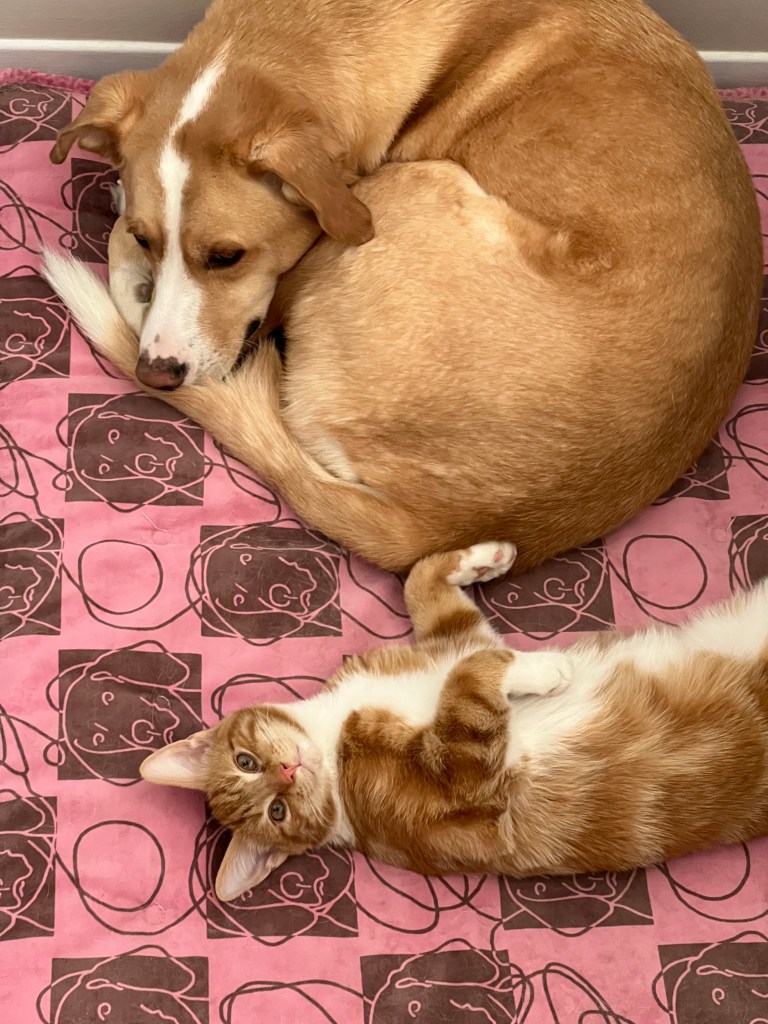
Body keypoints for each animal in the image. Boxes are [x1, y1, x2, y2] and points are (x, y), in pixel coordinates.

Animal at [140, 541, 768, 902]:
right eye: (277, 810)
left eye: (246, 762)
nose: (288, 772)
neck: (335, 728)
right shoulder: (462, 782)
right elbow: (469, 685)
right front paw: (546, 669)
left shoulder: (455, 635)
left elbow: (422, 581)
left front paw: (486, 555)